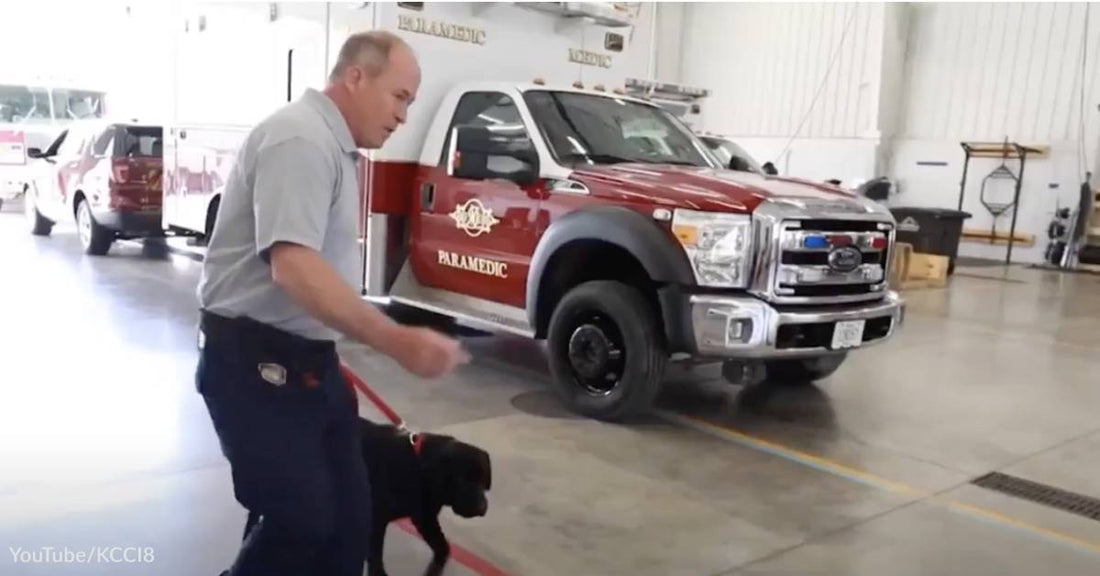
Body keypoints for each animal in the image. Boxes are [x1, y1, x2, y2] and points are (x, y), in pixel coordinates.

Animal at [247, 415, 497, 576]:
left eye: (483, 481)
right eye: (462, 479)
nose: (482, 507)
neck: (419, 466)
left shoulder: (424, 516)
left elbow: (441, 544)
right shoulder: (379, 518)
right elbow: (375, 552)